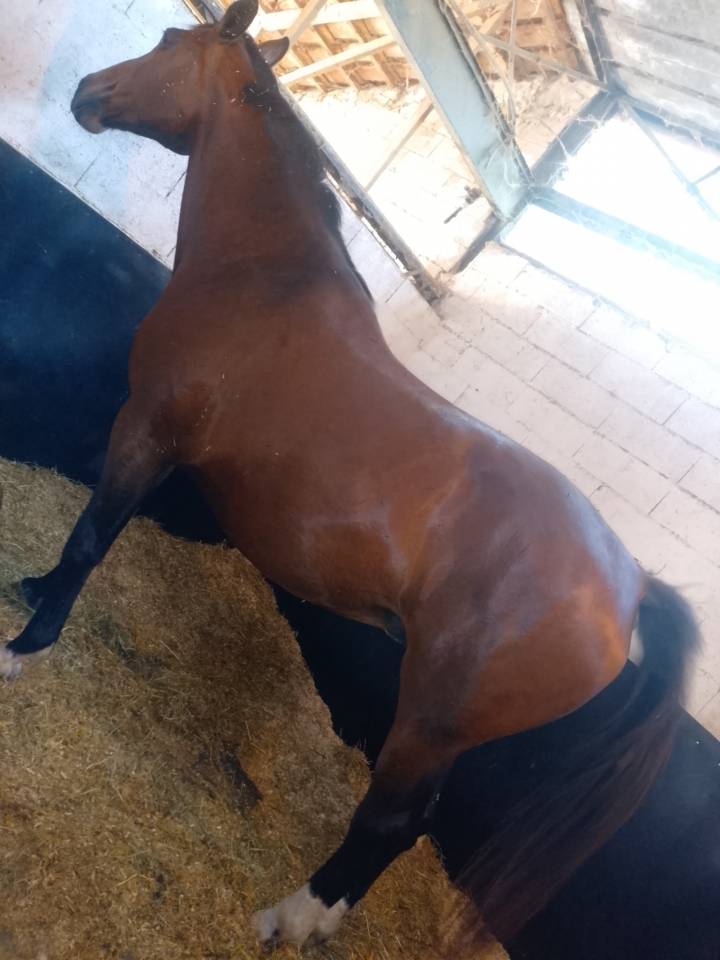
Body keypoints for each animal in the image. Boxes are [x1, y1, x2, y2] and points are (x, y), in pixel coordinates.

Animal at [1, 1, 698, 949]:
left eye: (171, 43)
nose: (87, 92)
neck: (264, 279)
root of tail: (628, 587)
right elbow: (87, 535)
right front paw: (29, 591)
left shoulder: (145, 429)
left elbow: (92, 537)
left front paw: (23, 648)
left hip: (430, 721)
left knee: (390, 822)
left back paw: (291, 916)